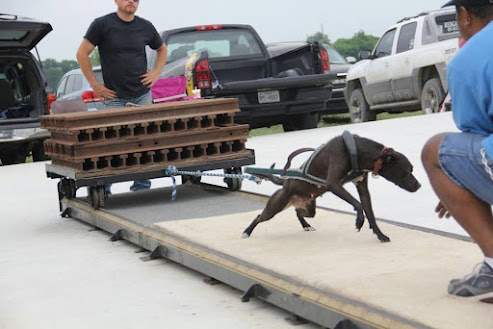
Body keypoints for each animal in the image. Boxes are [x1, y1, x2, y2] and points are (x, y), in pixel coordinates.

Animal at [242, 132, 418, 242]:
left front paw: (380, 235)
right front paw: (359, 221)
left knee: (298, 212)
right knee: (259, 217)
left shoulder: (362, 189)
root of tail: (285, 182)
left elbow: (370, 213)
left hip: (309, 208)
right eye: (408, 171)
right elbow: (358, 204)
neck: (357, 150)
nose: (419, 185)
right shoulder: (333, 184)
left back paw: (306, 226)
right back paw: (247, 232)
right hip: (276, 206)